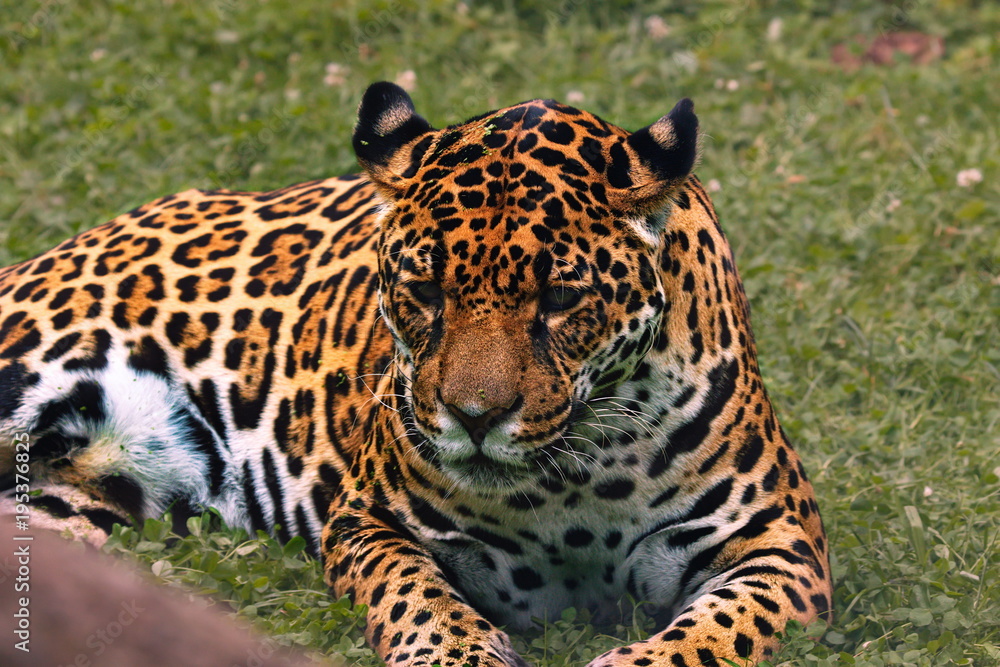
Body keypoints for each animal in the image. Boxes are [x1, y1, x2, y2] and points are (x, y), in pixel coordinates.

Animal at [0, 81, 832, 667]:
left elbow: (717, 633)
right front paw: (458, 653)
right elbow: (417, 597)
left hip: (78, 499)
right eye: (426, 290)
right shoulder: (371, 521)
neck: (571, 478)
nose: (474, 416)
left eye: (561, 299)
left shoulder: (779, 541)